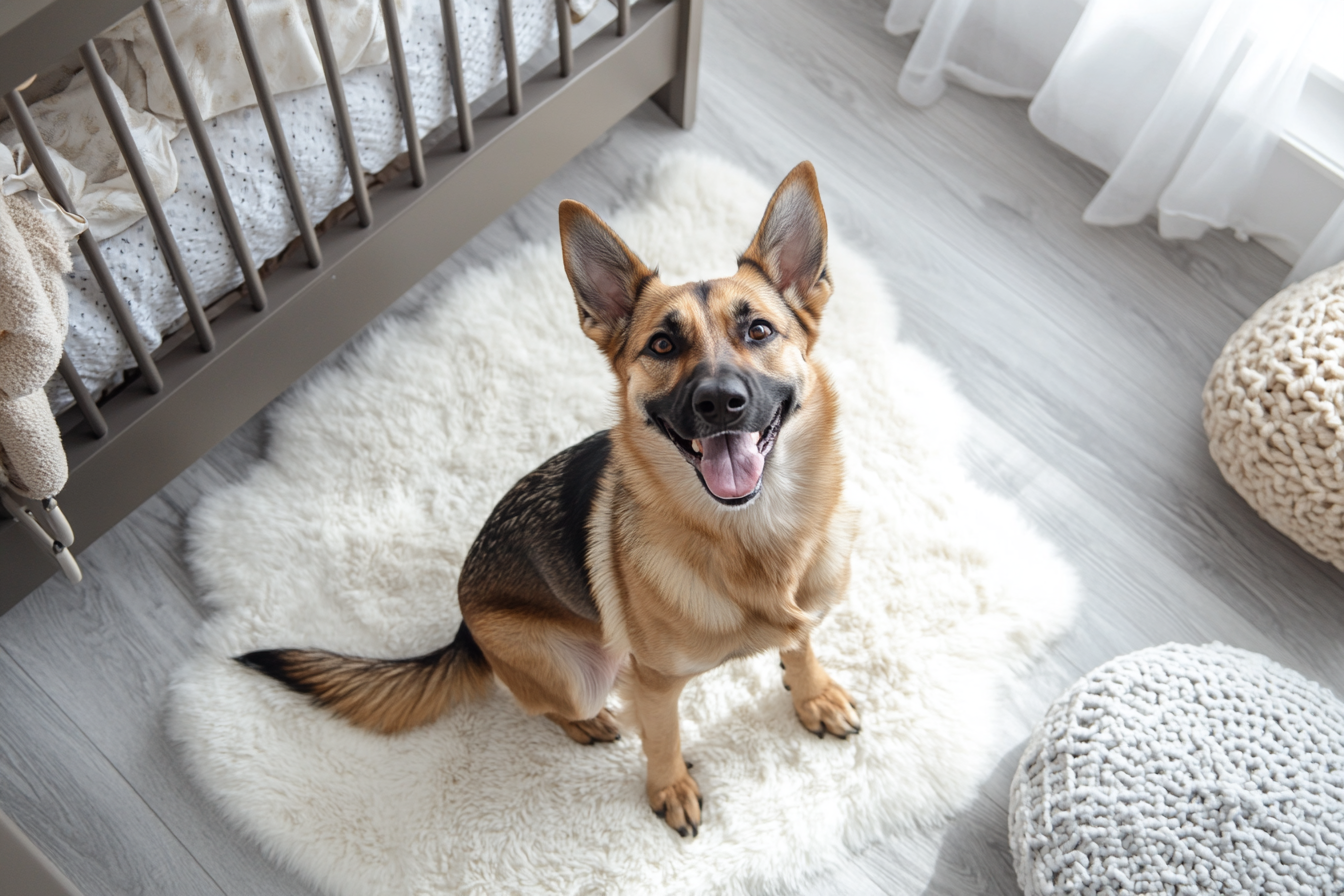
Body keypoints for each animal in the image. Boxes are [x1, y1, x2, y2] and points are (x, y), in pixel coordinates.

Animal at [236, 163, 854, 843]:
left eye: (758, 330)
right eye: (663, 346)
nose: (720, 403)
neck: (754, 536)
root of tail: (464, 628)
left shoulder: (805, 615)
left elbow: (800, 644)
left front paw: (811, 694)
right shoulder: (657, 685)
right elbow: (663, 736)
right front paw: (669, 787)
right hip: (580, 671)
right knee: (545, 701)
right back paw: (587, 721)